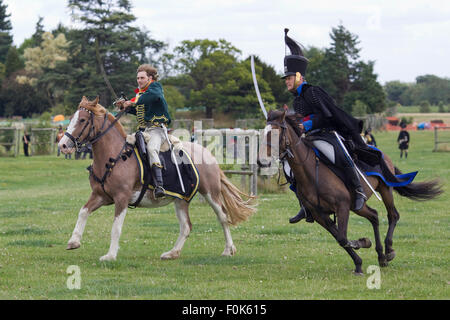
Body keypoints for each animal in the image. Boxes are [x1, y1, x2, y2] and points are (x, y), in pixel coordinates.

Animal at [59, 96, 255, 262]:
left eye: (82, 120)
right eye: (72, 118)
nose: (63, 145)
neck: (114, 156)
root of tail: (207, 153)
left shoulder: (121, 198)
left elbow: (116, 227)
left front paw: (110, 255)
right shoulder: (100, 196)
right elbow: (83, 212)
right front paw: (74, 241)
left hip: (210, 193)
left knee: (222, 217)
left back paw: (228, 249)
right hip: (181, 199)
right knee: (186, 226)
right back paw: (172, 253)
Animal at [264, 110, 442, 276]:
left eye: (275, 133)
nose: (263, 161)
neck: (311, 172)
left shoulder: (342, 206)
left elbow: (343, 238)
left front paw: (362, 244)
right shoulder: (320, 214)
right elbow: (339, 238)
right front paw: (359, 262)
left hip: (385, 190)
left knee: (393, 215)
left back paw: (389, 251)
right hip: (357, 205)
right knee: (374, 216)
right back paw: (381, 257)